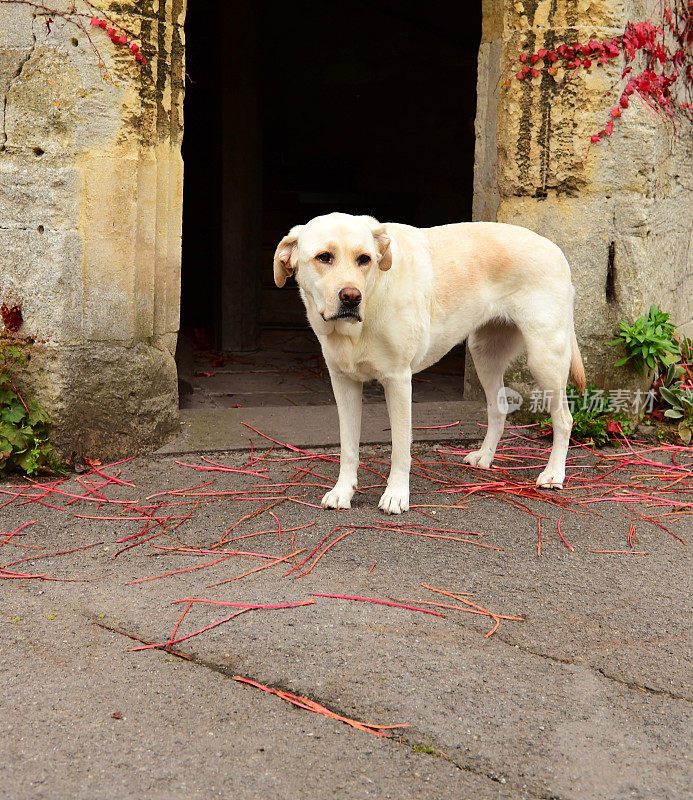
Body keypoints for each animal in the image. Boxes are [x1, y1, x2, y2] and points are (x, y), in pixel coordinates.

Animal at [272, 212, 584, 512]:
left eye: (364, 259)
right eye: (324, 257)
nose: (351, 297)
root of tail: (555, 248)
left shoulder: (398, 381)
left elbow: (400, 448)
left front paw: (396, 496)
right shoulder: (343, 381)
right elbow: (348, 447)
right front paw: (343, 492)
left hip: (544, 358)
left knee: (564, 419)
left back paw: (553, 474)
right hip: (484, 354)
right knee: (499, 408)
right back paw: (485, 457)